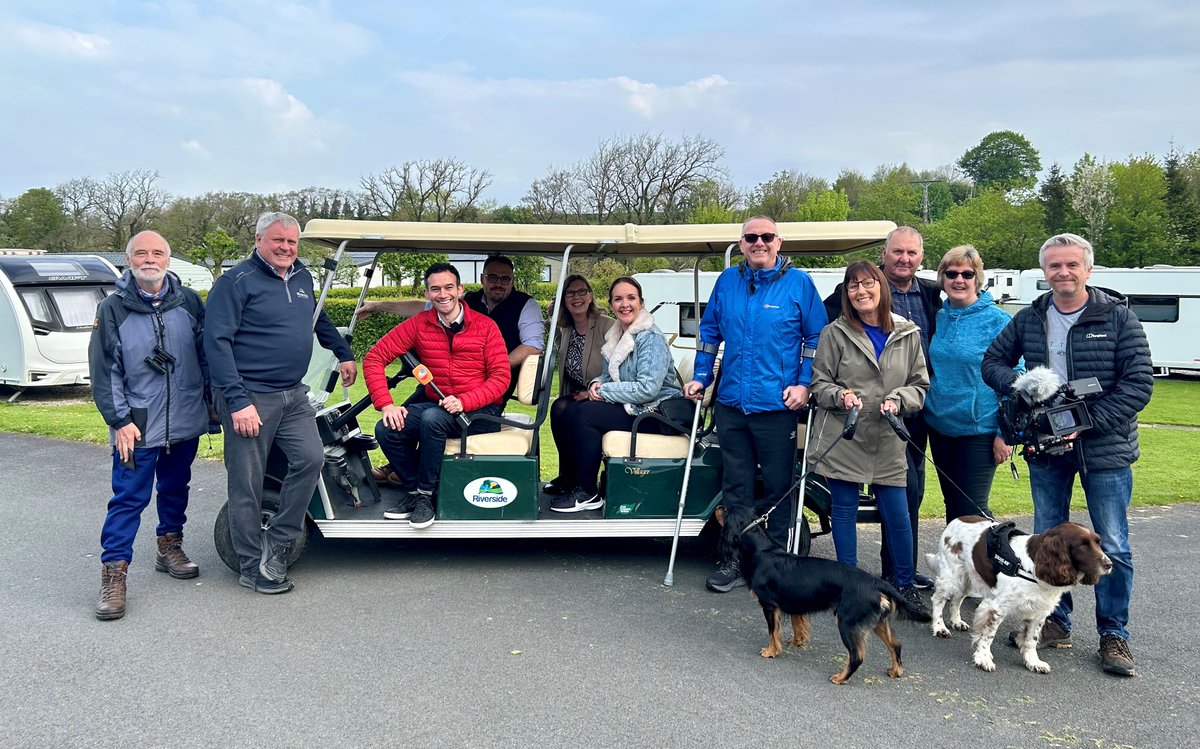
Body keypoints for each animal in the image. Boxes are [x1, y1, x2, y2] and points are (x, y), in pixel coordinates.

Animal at [715, 508, 931, 686]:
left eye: (726, 510)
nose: (719, 506)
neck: (762, 551)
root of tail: (877, 582)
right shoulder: (796, 602)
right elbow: (797, 623)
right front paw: (797, 641)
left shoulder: (769, 605)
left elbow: (773, 632)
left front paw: (771, 651)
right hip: (878, 621)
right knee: (895, 645)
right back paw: (895, 671)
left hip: (847, 622)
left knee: (857, 656)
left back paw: (840, 678)